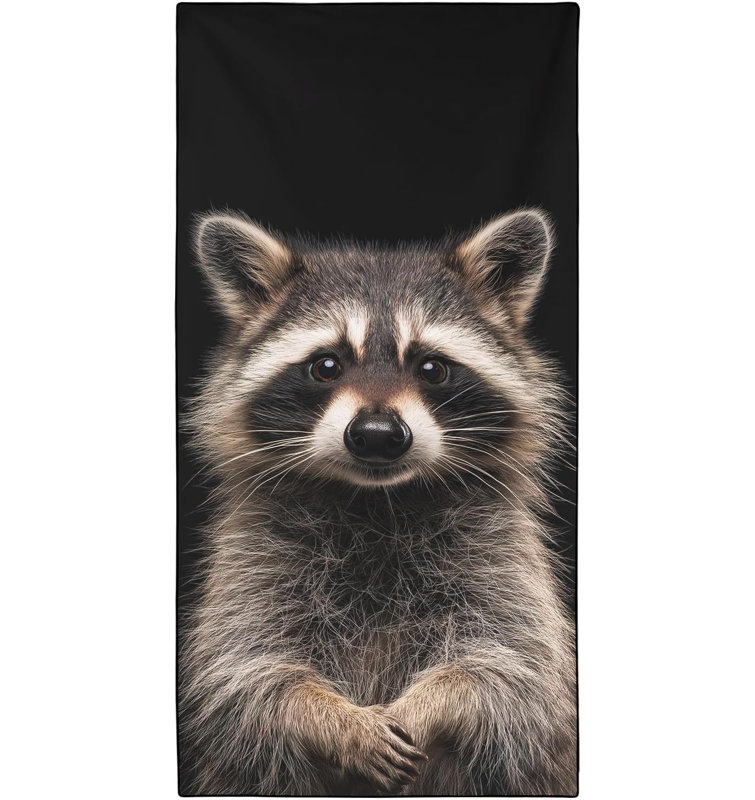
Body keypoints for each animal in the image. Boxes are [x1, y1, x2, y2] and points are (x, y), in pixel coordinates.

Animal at [179, 209, 577, 796]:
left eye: (432, 368)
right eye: (326, 366)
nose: (377, 435)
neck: (378, 503)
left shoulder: (502, 558)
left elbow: (509, 673)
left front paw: (429, 705)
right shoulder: (253, 563)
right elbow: (249, 678)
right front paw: (336, 721)